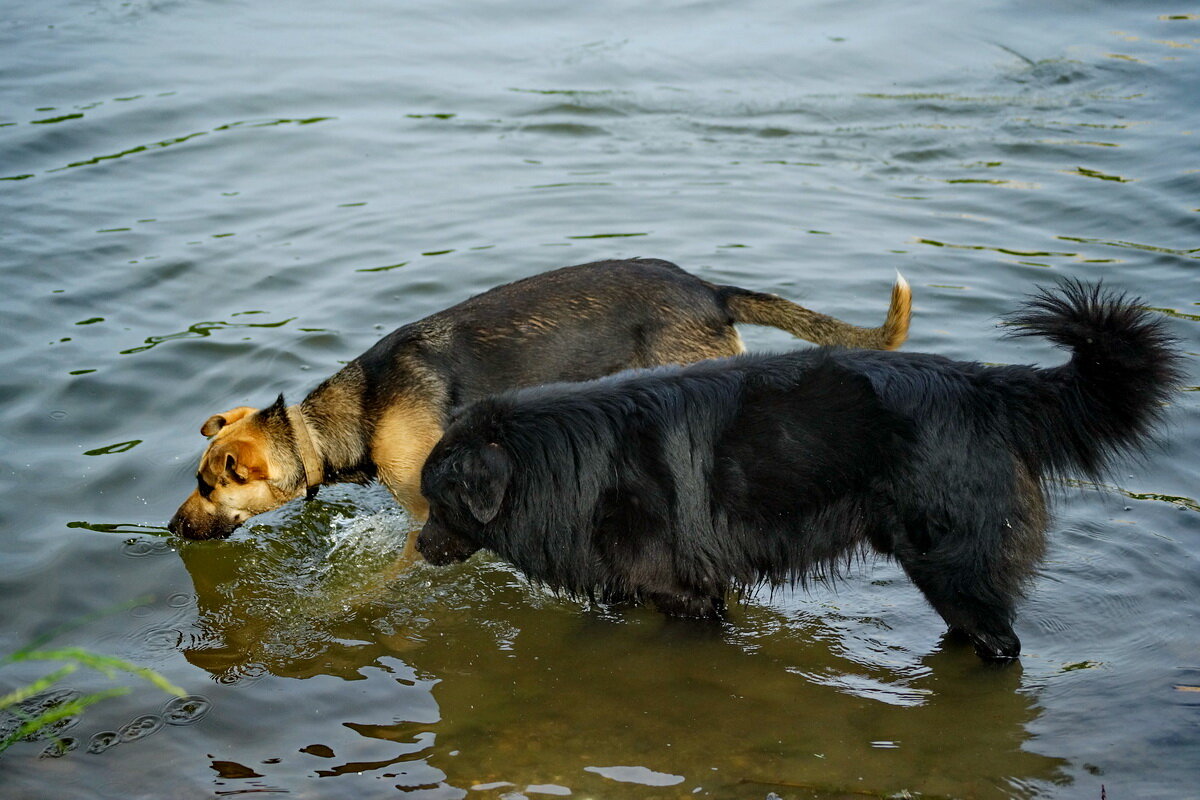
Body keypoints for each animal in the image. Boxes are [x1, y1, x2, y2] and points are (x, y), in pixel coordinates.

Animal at [415, 283, 1180, 662]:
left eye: (438, 500)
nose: (418, 547)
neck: (573, 461)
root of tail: (986, 387)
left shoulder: (688, 594)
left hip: (952, 561)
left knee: (1001, 641)